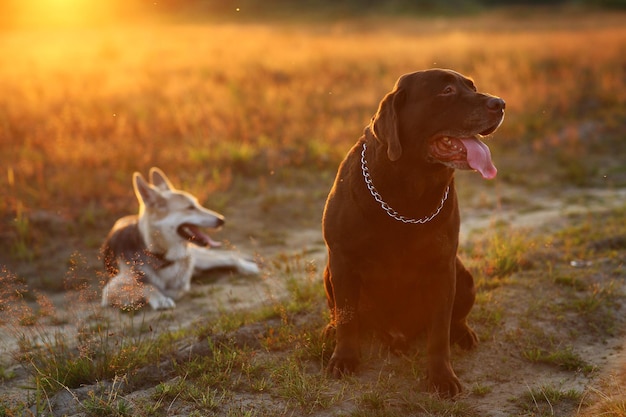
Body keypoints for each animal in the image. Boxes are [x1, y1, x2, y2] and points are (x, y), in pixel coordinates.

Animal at [102, 167, 258, 308]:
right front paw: (160, 298)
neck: (162, 257)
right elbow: (145, 285)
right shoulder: (109, 289)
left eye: (197, 204)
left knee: (229, 257)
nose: (222, 220)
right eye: (190, 208)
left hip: (202, 259)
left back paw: (248, 267)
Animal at [322, 69, 502, 396]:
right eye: (446, 91)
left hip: (464, 276)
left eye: (473, 87)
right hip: (329, 273)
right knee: (339, 312)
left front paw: (441, 376)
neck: (408, 193)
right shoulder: (341, 259)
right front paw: (345, 358)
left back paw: (463, 333)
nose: (500, 103)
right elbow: (347, 316)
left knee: (454, 319)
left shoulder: (442, 269)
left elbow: (439, 331)